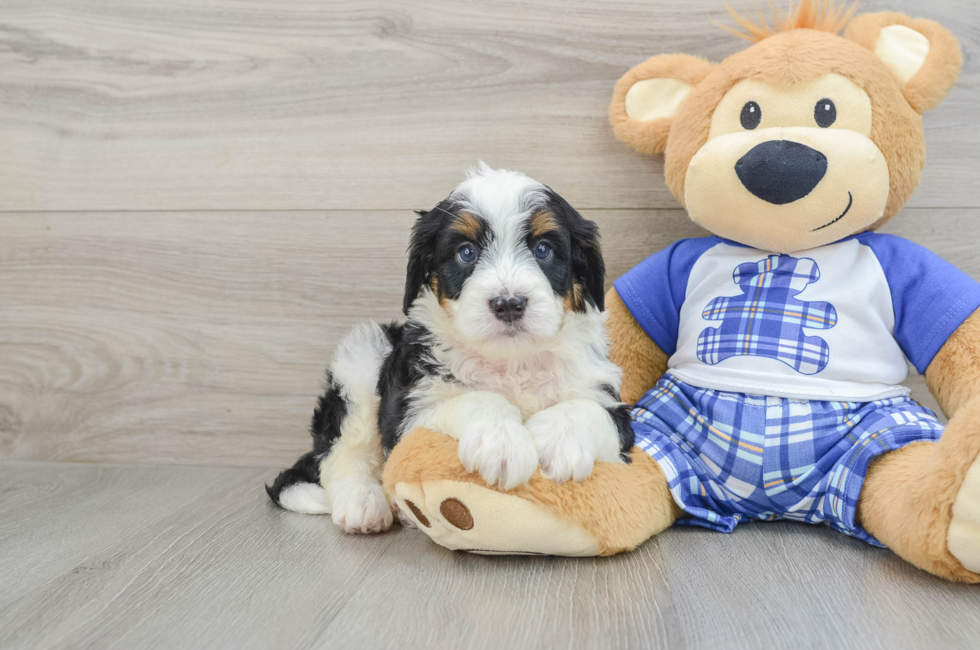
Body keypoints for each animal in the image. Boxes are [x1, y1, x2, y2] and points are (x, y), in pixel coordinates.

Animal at [268, 165, 632, 536]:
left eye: (543, 249)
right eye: (466, 252)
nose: (509, 304)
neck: (511, 362)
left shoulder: (611, 407)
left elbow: (589, 410)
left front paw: (559, 442)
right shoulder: (410, 413)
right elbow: (474, 399)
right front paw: (501, 440)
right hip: (362, 356)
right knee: (342, 452)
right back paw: (363, 504)